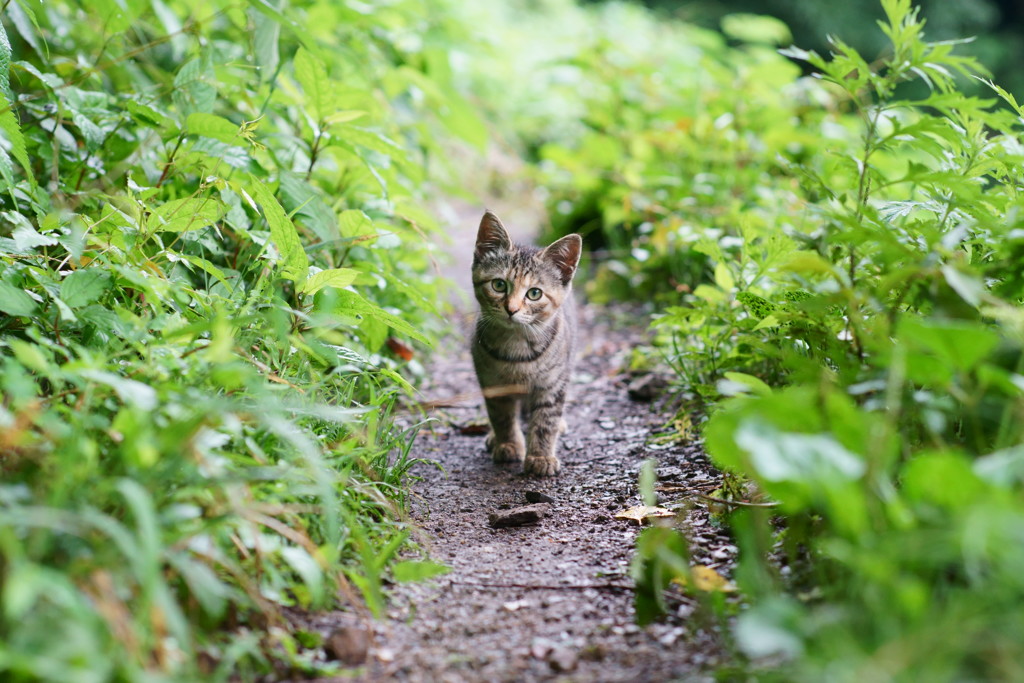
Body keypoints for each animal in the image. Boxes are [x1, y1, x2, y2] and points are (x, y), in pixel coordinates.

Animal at [468, 209, 581, 475]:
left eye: (534, 293)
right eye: (499, 285)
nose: (511, 309)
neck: (517, 345)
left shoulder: (552, 384)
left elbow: (545, 421)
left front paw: (541, 456)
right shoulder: (492, 383)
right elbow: (501, 416)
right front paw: (508, 444)